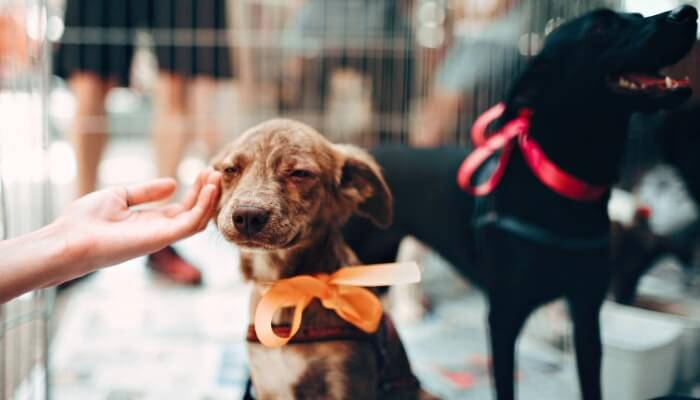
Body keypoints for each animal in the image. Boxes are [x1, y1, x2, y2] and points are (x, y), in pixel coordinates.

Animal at [211, 119, 426, 400]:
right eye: (230, 170)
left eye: (300, 174)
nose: (247, 216)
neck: (287, 291)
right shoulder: (266, 383)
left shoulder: (345, 380)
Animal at [348, 6, 696, 400]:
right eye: (603, 25)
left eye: (636, 14)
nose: (687, 12)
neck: (563, 187)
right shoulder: (504, 318)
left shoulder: (586, 315)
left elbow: (591, 382)